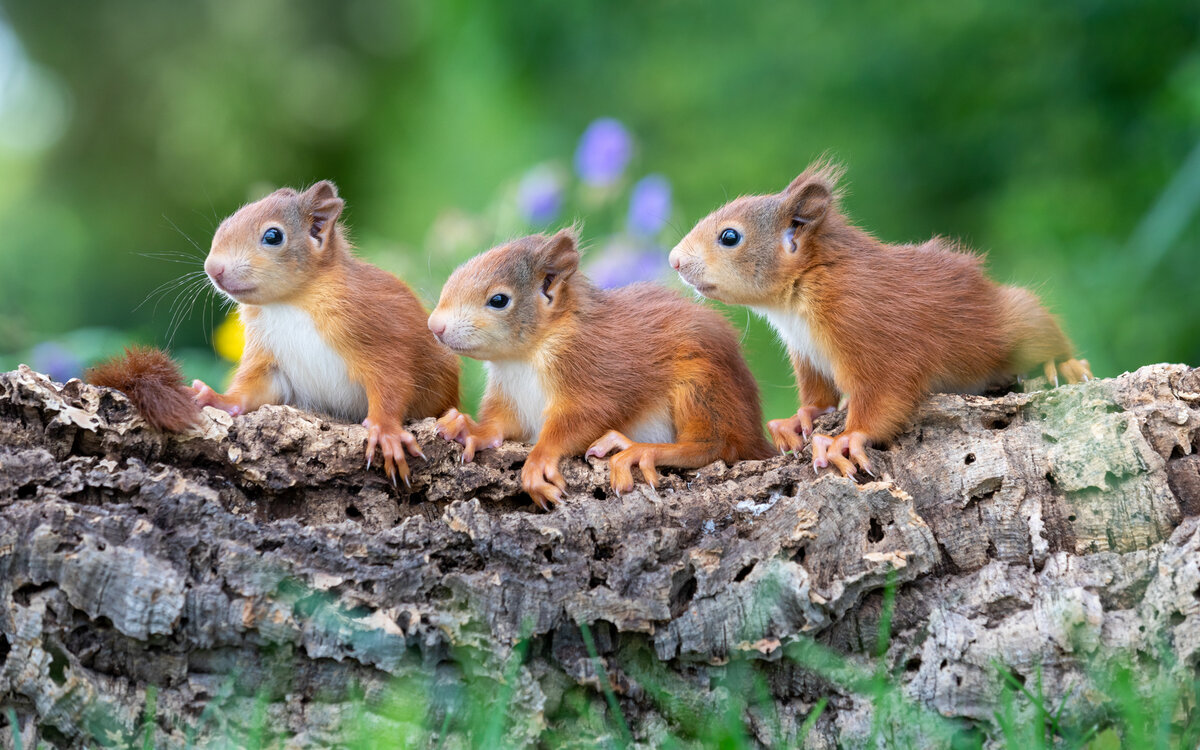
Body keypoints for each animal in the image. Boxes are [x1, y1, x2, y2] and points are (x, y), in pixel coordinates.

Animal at [189, 182, 456, 484]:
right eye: (225, 224)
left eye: (273, 236)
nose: (213, 268)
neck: (291, 302)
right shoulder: (267, 353)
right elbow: (251, 392)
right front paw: (216, 399)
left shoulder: (378, 333)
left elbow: (392, 381)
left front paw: (385, 431)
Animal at [427, 228, 772, 508]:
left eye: (499, 300)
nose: (434, 326)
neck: (524, 358)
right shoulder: (510, 397)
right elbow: (499, 425)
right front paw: (471, 430)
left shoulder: (593, 370)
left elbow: (582, 418)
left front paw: (539, 459)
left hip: (702, 385)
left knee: (716, 445)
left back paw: (639, 449)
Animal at [672, 162, 1094, 480]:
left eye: (730, 236)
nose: (674, 261)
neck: (798, 298)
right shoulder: (808, 355)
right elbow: (820, 397)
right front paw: (796, 420)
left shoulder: (868, 328)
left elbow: (885, 393)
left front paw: (845, 439)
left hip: (1012, 325)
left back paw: (1065, 364)